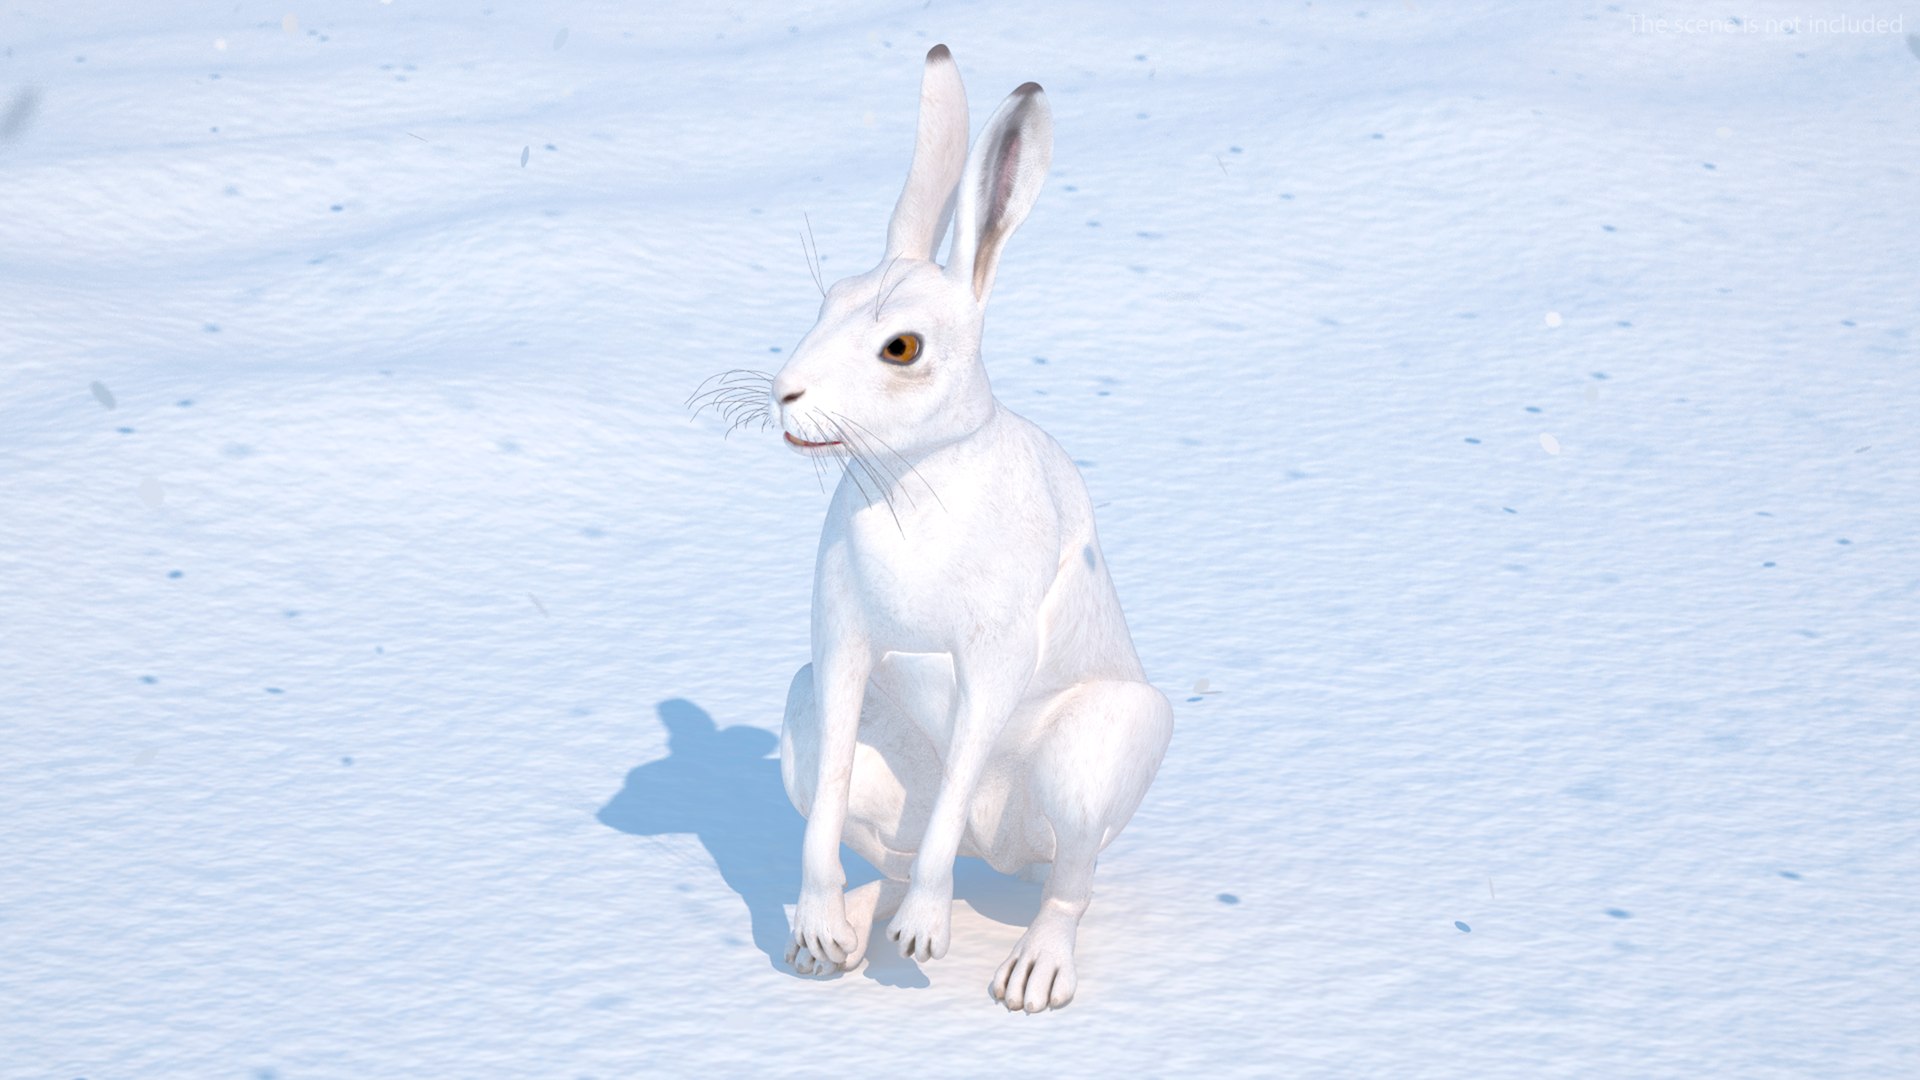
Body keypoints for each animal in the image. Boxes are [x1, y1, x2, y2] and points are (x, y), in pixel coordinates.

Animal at [716, 44, 1172, 1013]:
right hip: (820, 724)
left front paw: (925, 938)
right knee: (883, 842)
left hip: (1100, 747)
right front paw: (821, 921)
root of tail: (999, 852)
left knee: (1065, 879)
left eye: (902, 349)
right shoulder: (842, 644)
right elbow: (828, 794)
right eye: (829, 301)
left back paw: (1030, 977)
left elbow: (970, 753)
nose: (785, 393)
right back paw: (833, 942)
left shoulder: (995, 654)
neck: (913, 476)